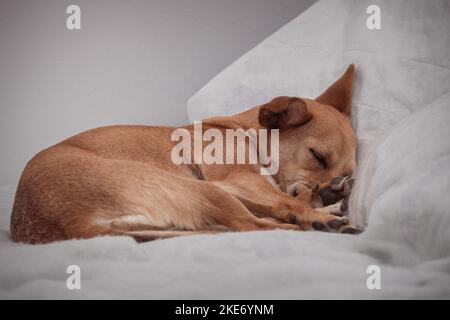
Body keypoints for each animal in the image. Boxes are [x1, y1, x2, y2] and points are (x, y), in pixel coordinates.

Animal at [10, 63, 362, 242]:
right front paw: (317, 207)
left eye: (348, 170)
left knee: (246, 222)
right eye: (317, 156)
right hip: (203, 189)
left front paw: (327, 197)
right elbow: (286, 201)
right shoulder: (238, 181)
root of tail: (72, 227)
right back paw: (320, 223)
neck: (244, 133)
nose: (338, 184)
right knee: (252, 226)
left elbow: (285, 200)